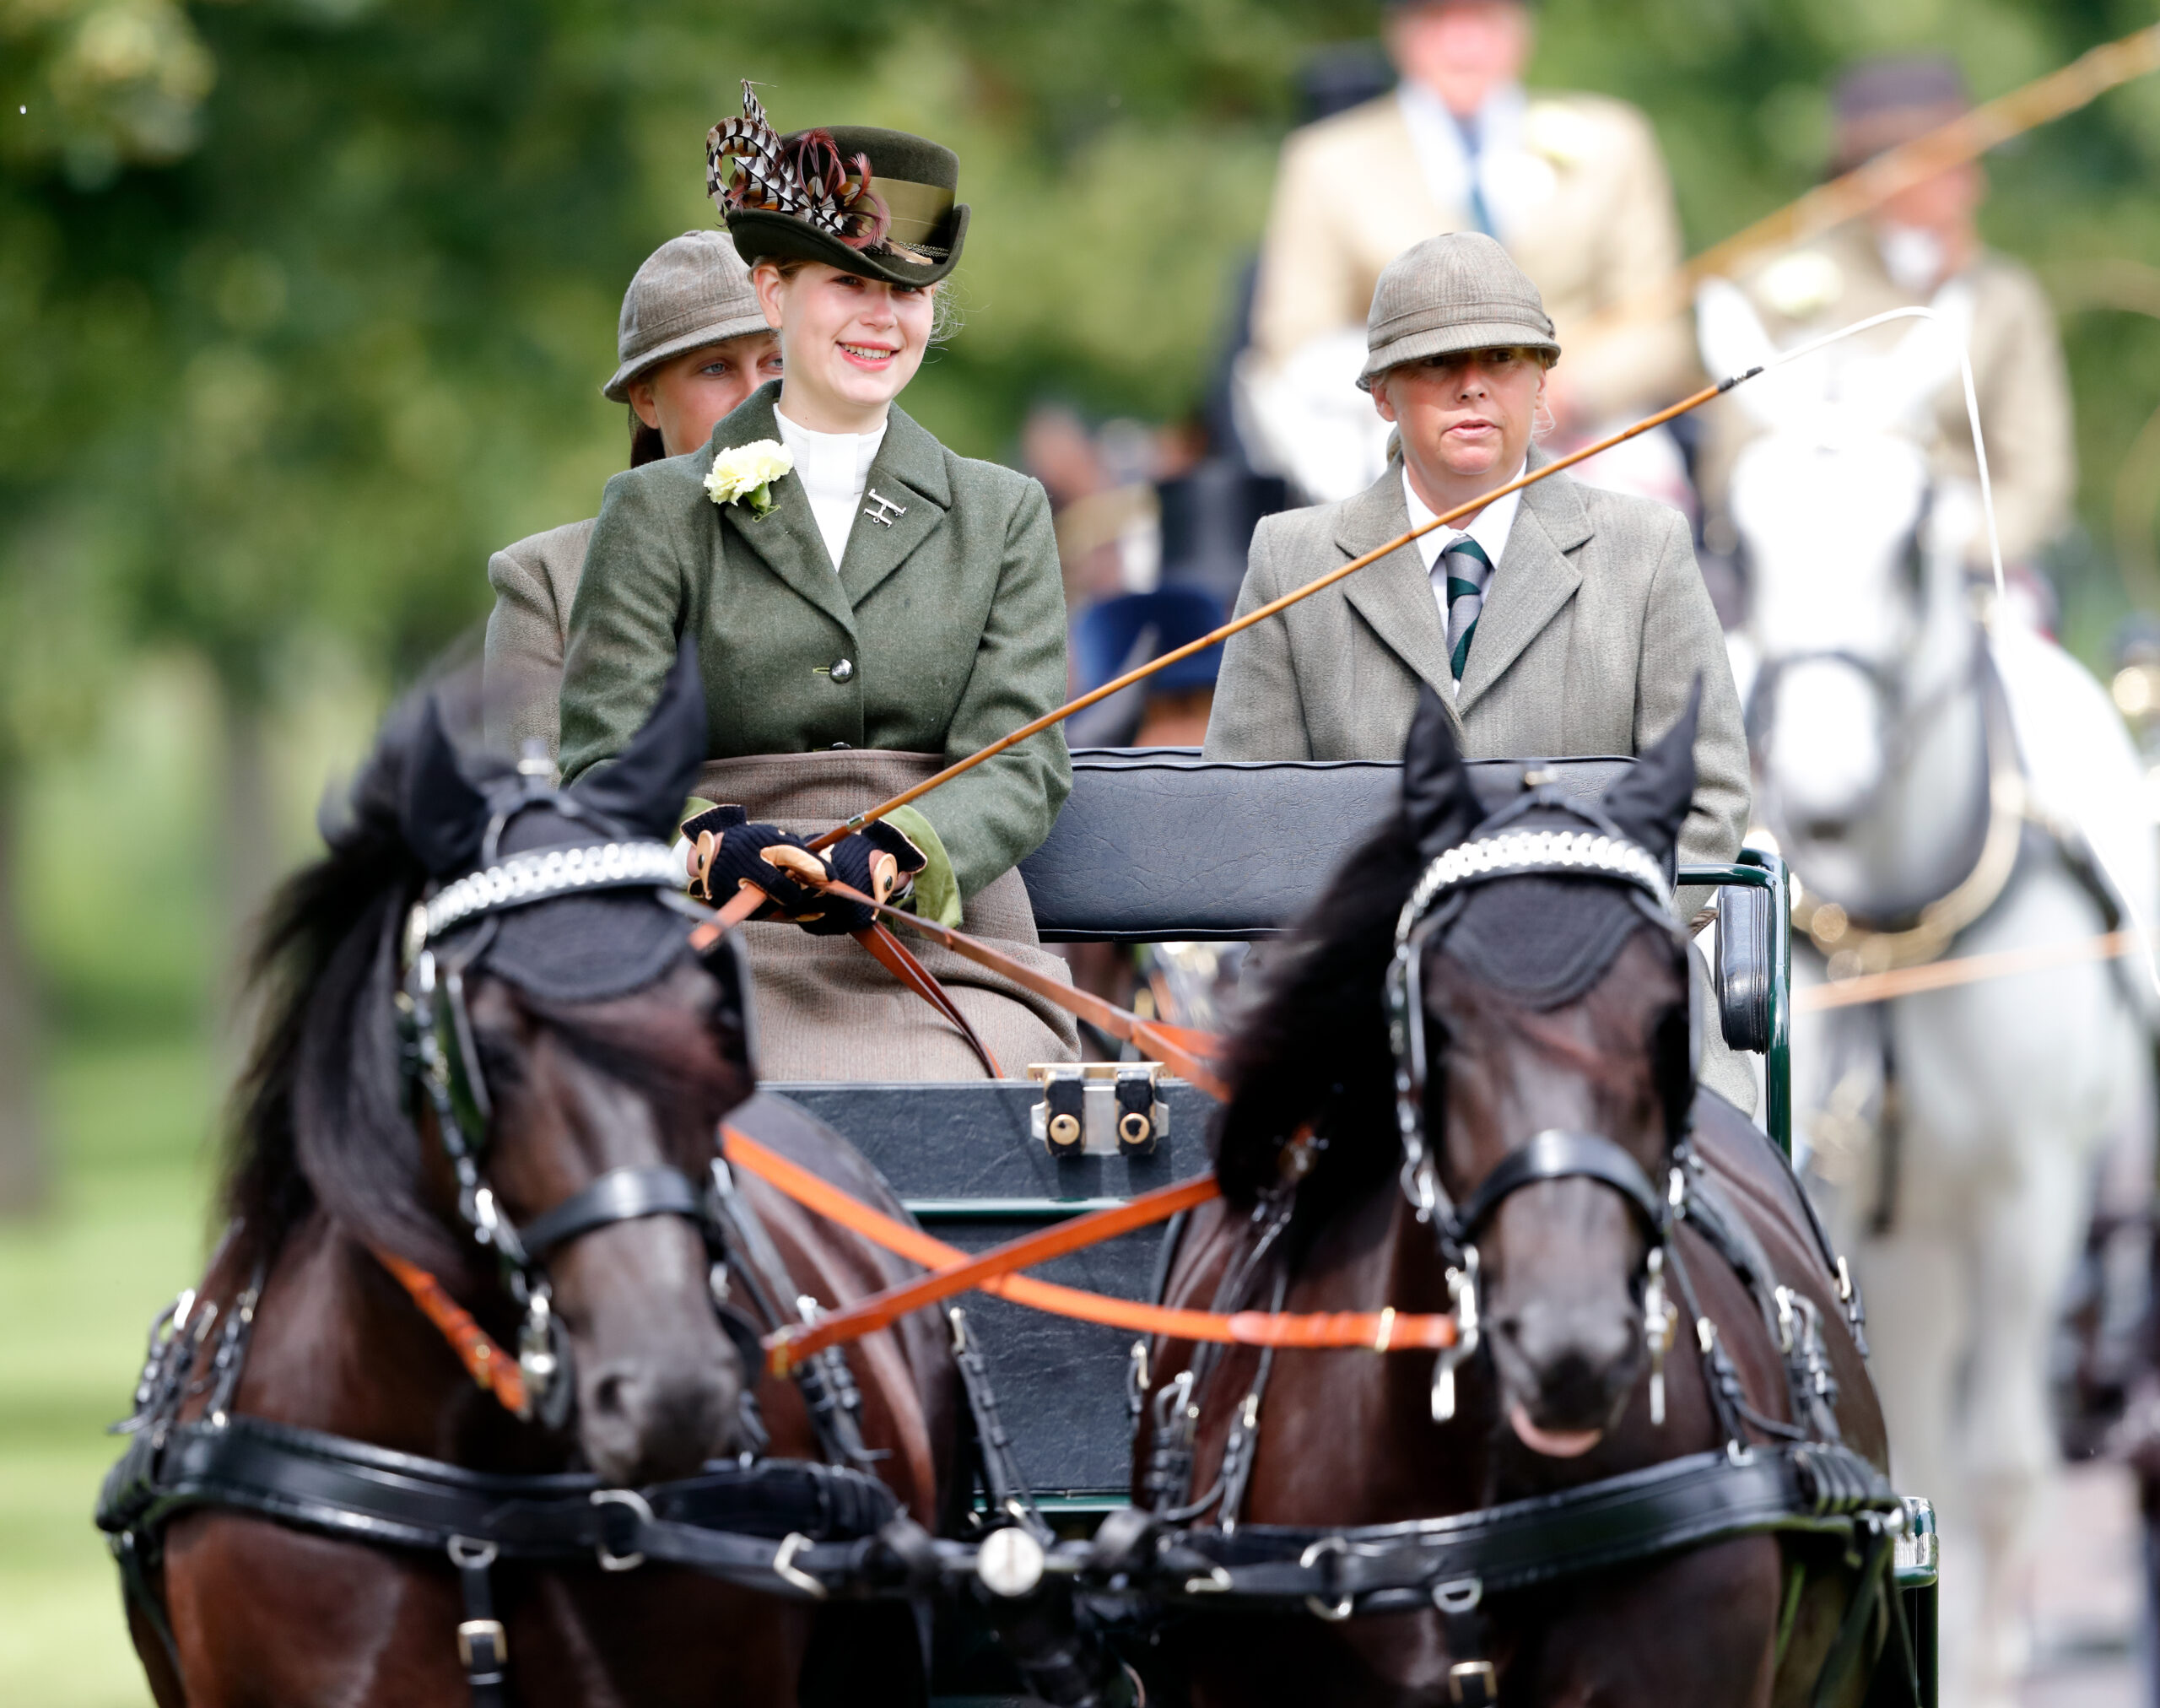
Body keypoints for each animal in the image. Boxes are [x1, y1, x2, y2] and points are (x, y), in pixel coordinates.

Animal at [1693, 287, 2151, 1708]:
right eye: (1737, 540)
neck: (1891, 933)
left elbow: (2001, 1475)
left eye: (1914, 544)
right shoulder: (1821, 1204)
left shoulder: (2028, 1202)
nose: (1823, 792)